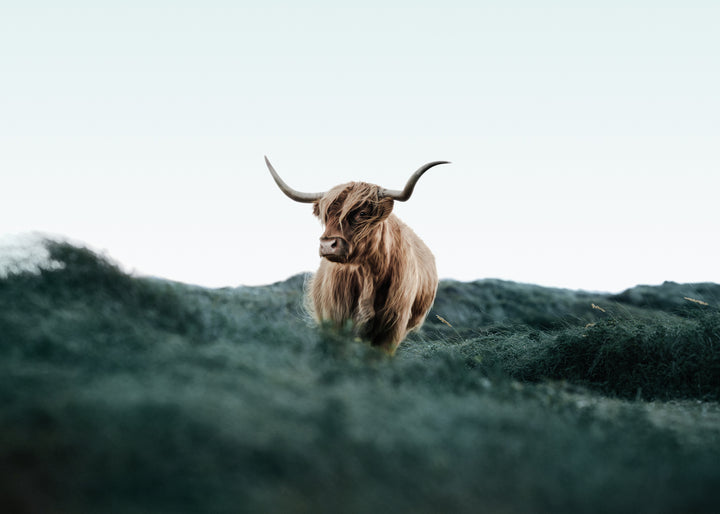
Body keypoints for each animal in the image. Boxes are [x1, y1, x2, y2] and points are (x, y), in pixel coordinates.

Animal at [265, 156, 449, 354]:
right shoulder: (335, 319)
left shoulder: (393, 327)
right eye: (326, 215)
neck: (367, 273)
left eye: (362, 213)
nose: (327, 245)